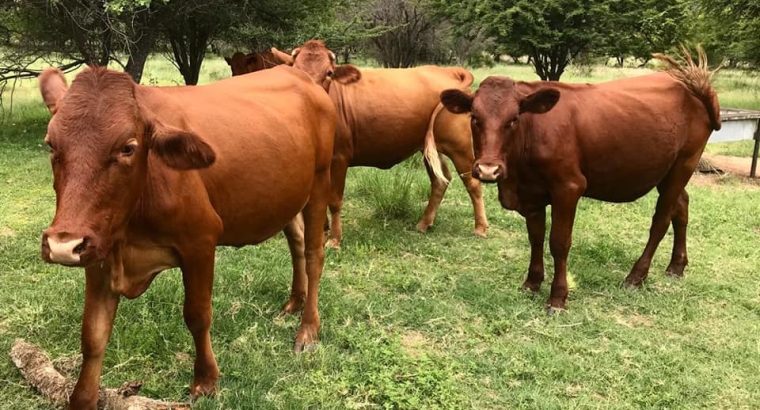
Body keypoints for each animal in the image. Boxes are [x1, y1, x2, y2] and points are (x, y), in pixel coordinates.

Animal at [37, 65, 335, 409]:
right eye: (51, 145)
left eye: (128, 147)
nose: (62, 245)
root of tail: (298, 73)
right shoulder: (98, 251)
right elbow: (92, 335)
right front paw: (83, 397)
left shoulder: (200, 242)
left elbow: (197, 314)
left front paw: (206, 380)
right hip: (288, 195)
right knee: (297, 243)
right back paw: (294, 302)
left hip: (321, 181)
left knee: (314, 254)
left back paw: (308, 329)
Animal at [270, 40, 489, 248]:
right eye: (295, 70)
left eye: (329, 73)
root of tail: (447, 71)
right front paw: (322, 231)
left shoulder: (339, 158)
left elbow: (334, 200)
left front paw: (334, 239)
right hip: (429, 148)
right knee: (440, 181)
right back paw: (423, 224)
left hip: (460, 146)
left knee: (473, 183)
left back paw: (480, 228)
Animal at [437, 49, 721, 313]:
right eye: (474, 118)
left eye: (513, 119)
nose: (488, 170)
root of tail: (691, 85)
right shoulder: (531, 194)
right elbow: (536, 237)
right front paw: (532, 283)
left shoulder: (568, 188)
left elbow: (559, 242)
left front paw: (557, 298)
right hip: (668, 169)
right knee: (681, 207)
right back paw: (676, 266)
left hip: (684, 163)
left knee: (661, 220)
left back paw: (636, 277)